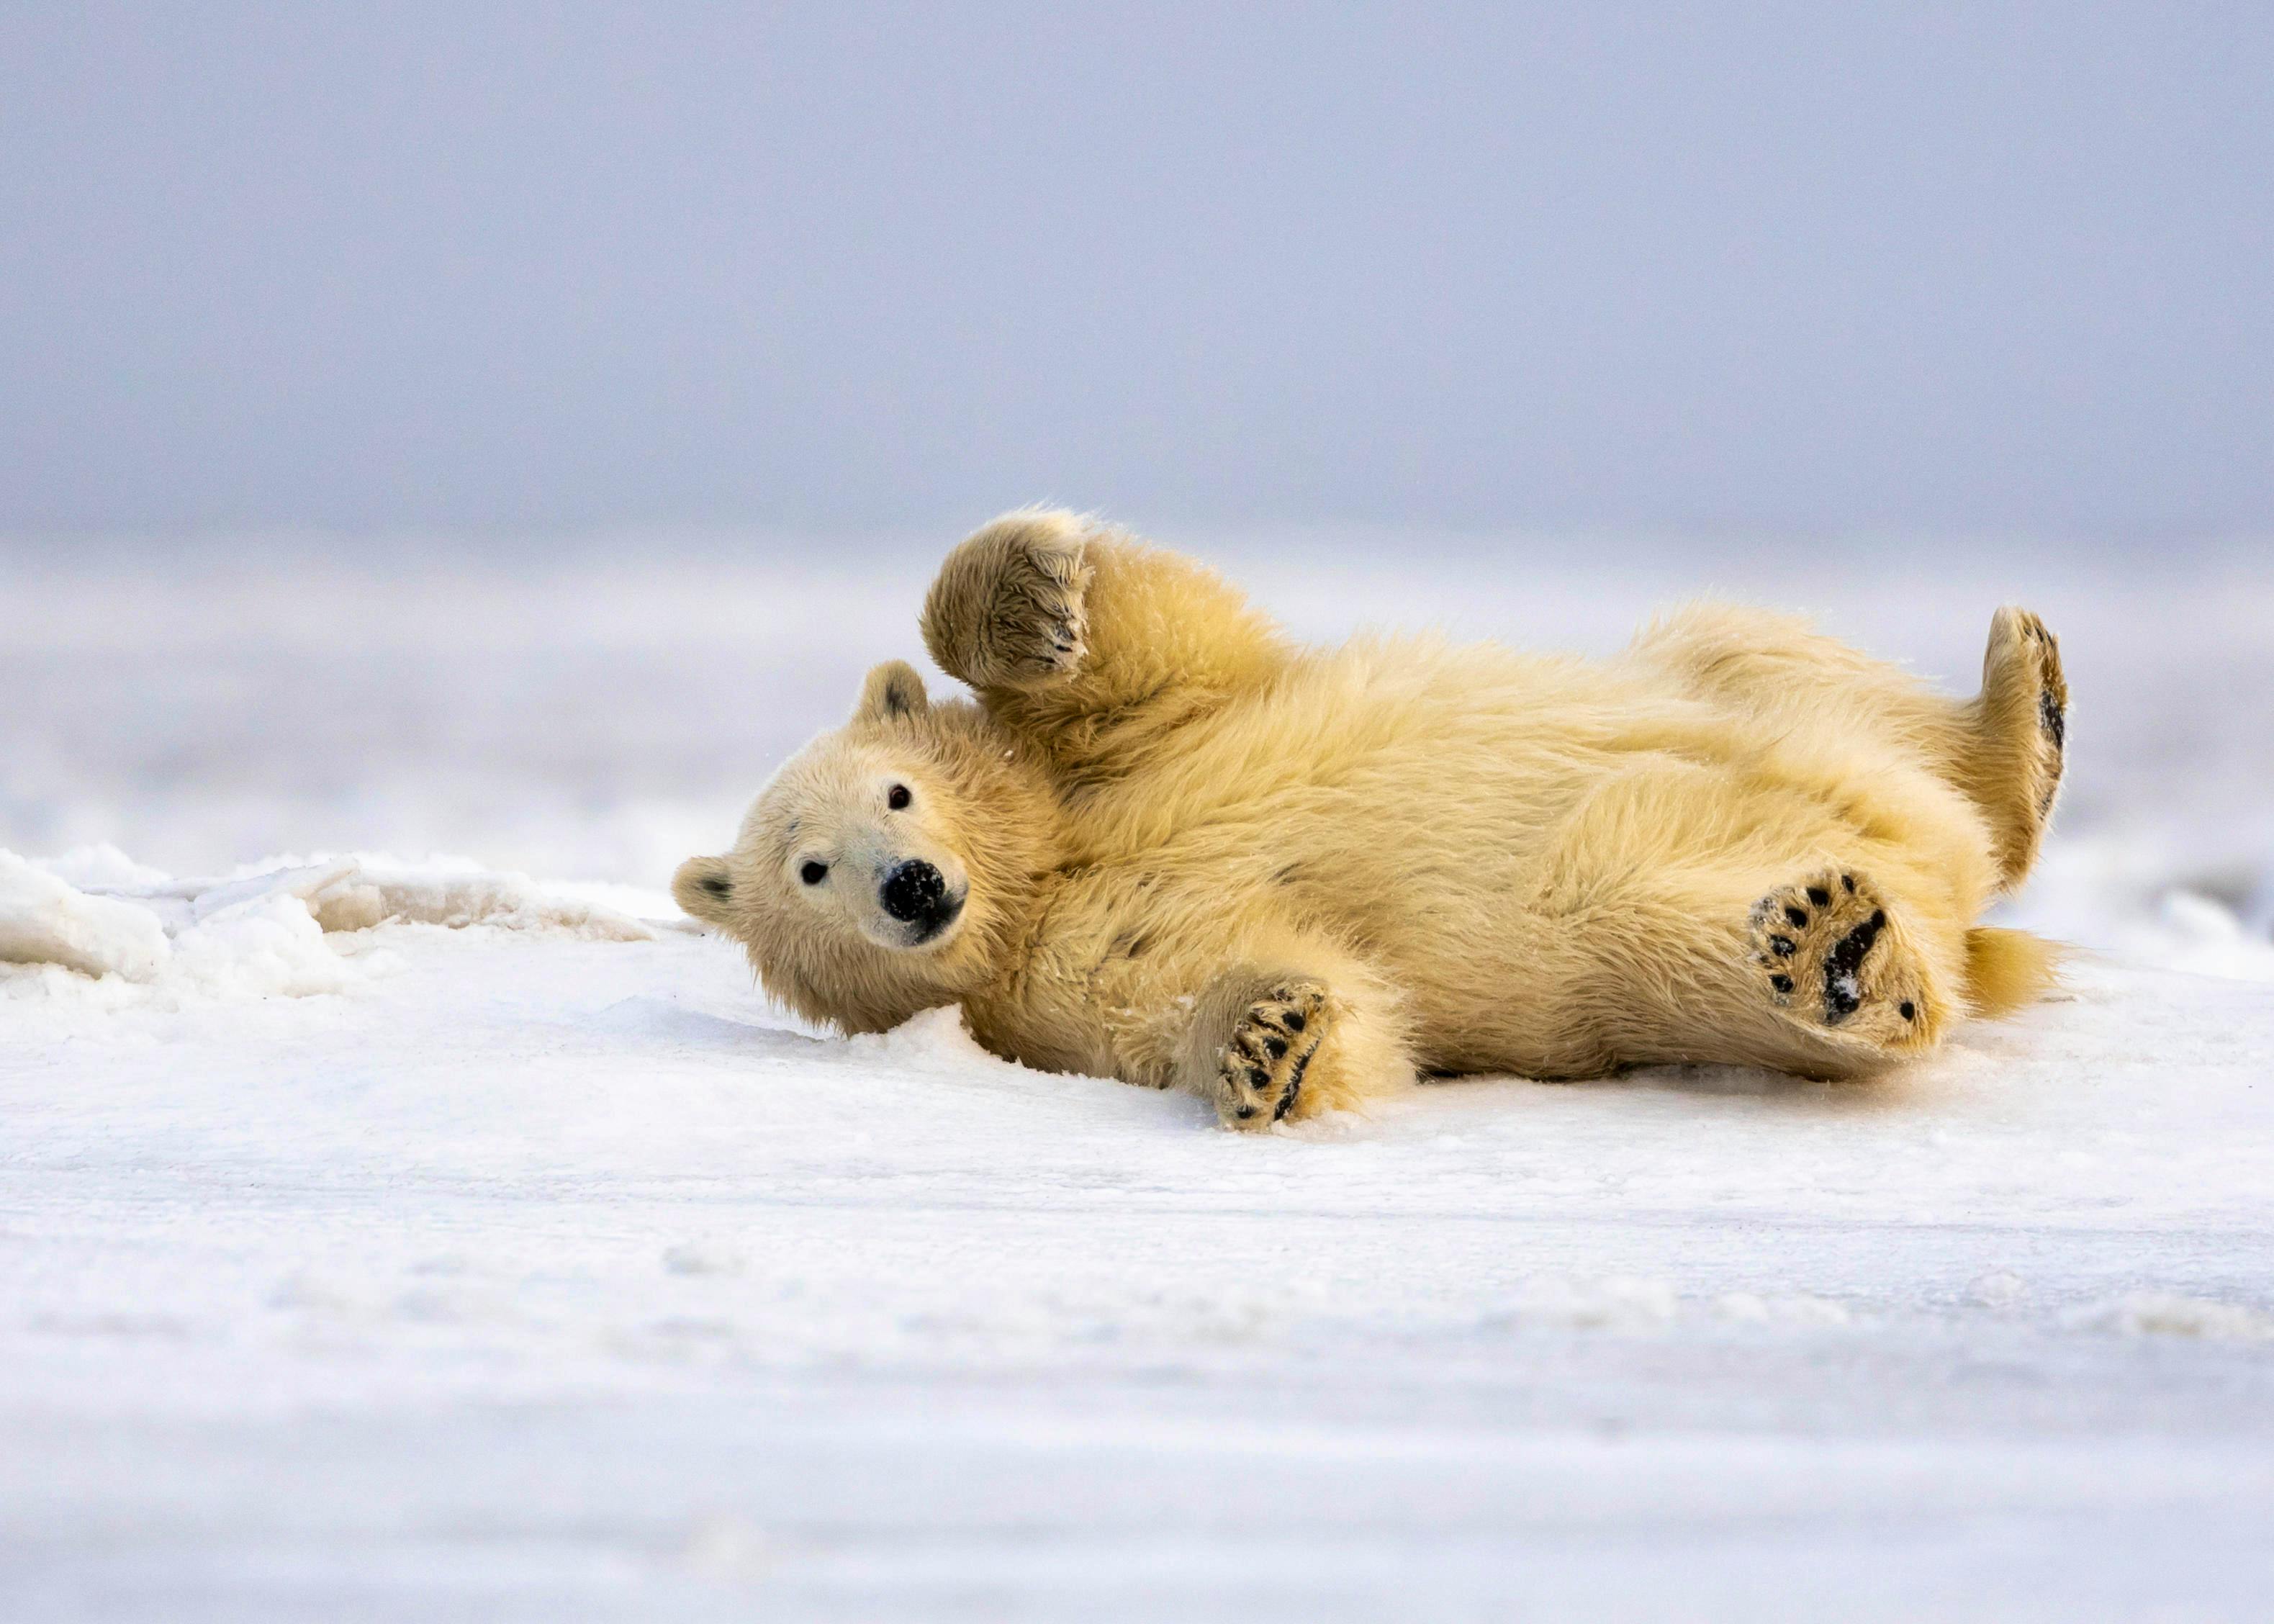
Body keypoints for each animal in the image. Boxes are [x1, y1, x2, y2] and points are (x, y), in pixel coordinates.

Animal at [668, 505, 2065, 1128]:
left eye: (895, 792)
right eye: (808, 871)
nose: (909, 885)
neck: (1045, 872)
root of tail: (1942, 877)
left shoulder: (1122, 752)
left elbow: (1165, 645)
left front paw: (1034, 598)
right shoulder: (1050, 984)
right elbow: (1225, 992)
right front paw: (1265, 1039)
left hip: (1729, 686)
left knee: (1769, 652)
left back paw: (2019, 709)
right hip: (1628, 917)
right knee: (1671, 937)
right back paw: (1835, 953)